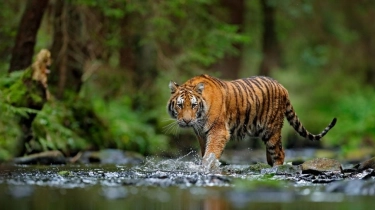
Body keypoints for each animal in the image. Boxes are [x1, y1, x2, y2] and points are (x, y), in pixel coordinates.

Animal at [167, 74, 338, 167]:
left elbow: (211, 153)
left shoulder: (218, 131)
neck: (200, 118)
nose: (187, 121)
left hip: (272, 130)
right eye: (180, 105)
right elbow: (205, 153)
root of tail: (283, 87)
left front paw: (207, 167)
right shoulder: (201, 134)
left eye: (193, 105)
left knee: (280, 153)